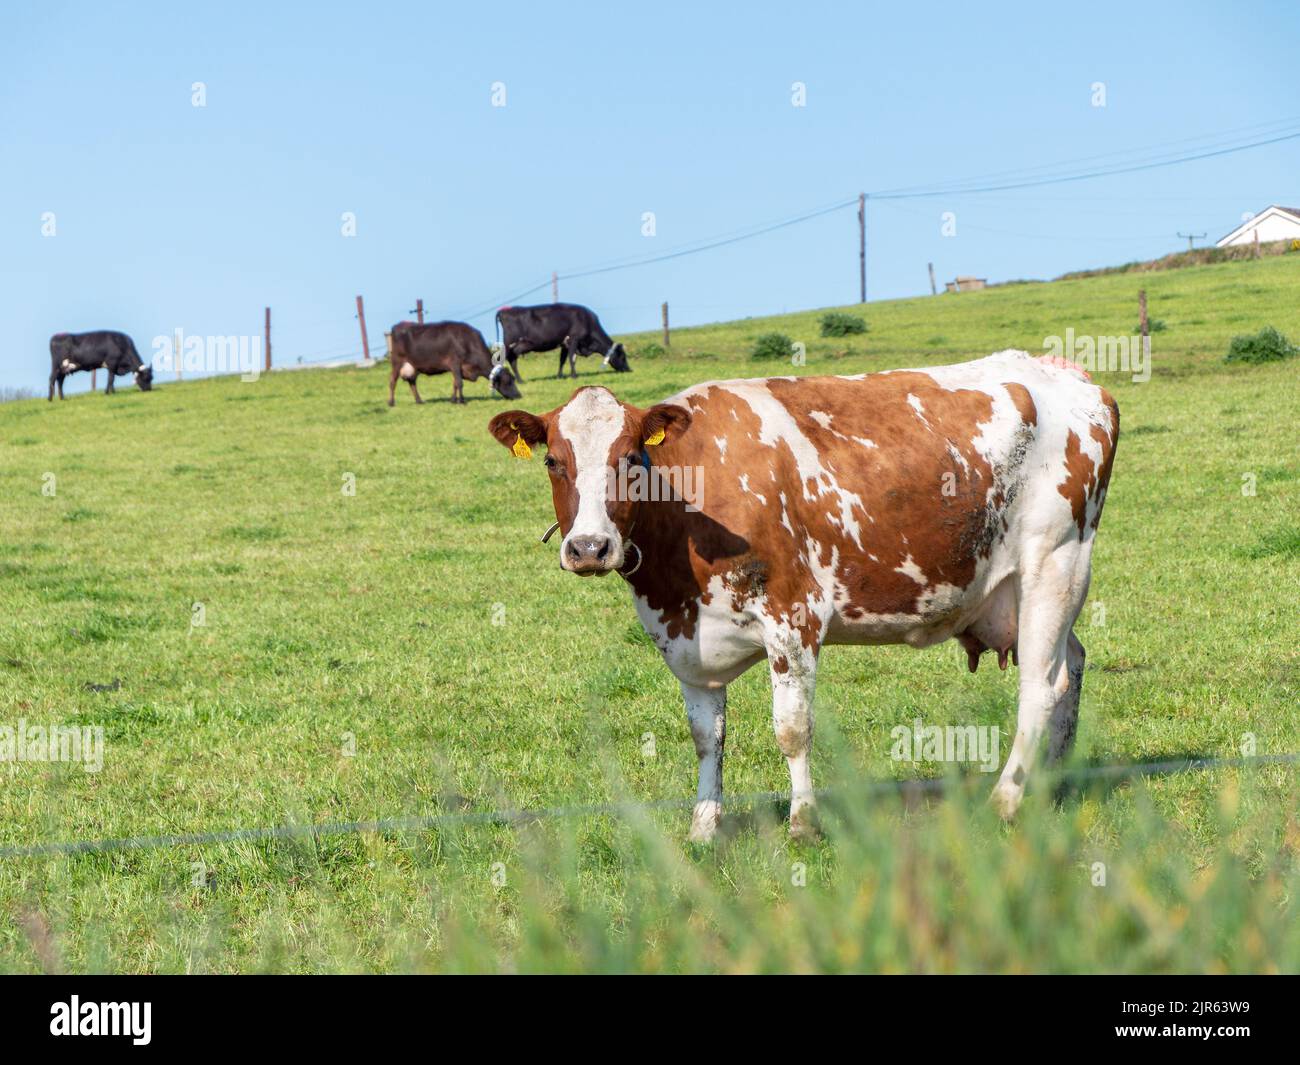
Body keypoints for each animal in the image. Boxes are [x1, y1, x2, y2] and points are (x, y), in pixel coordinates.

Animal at [384, 318, 522, 405]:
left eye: (513, 379)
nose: (519, 395)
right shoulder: (455, 363)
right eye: (508, 381)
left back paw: (419, 401)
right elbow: (460, 383)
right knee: (392, 381)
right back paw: (391, 402)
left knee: (412, 382)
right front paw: (462, 401)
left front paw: (453, 400)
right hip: (397, 361)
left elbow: (455, 383)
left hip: (414, 366)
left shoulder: (458, 368)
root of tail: (398, 325)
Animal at [488, 353, 1118, 847]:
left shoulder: (794, 617)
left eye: (627, 457)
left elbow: (792, 729)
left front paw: (804, 823)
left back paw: (1006, 799)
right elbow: (705, 738)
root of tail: (1074, 376)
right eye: (553, 461)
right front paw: (703, 829)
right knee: (1072, 666)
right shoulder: (686, 641)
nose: (589, 547)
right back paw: (1047, 785)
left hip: (1055, 561)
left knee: (1041, 684)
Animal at [491, 301, 629, 382]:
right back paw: (517, 380)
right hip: (509, 344)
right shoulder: (574, 339)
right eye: (622, 356)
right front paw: (574, 376)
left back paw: (519, 380)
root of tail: (504, 311)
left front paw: (560, 376)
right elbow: (572, 358)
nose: (629, 370)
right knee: (507, 359)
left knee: (512, 359)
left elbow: (562, 360)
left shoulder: (564, 344)